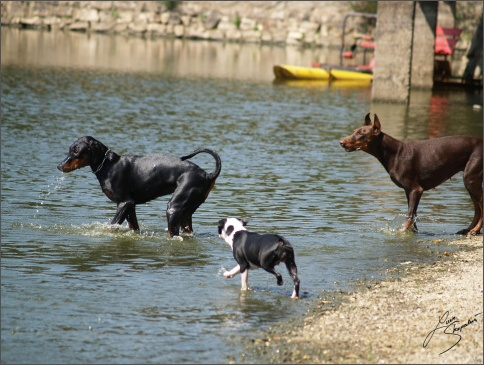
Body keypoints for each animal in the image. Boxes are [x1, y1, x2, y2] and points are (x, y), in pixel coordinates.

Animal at [57, 136, 222, 236]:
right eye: (69, 149)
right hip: (186, 213)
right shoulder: (130, 206)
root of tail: (207, 175)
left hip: (174, 208)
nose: (59, 166)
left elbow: (112, 225)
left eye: (76, 151)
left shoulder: (125, 203)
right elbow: (134, 226)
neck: (109, 166)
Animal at [340, 112, 484, 235]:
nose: (341, 142)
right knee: (477, 209)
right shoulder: (408, 191)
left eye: (361, 133)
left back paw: (475, 230)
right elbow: (413, 215)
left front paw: (402, 232)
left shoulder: (416, 189)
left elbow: (409, 216)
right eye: (354, 131)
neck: (393, 153)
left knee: (480, 207)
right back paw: (469, 229)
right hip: (471, 183)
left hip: (471, 180)